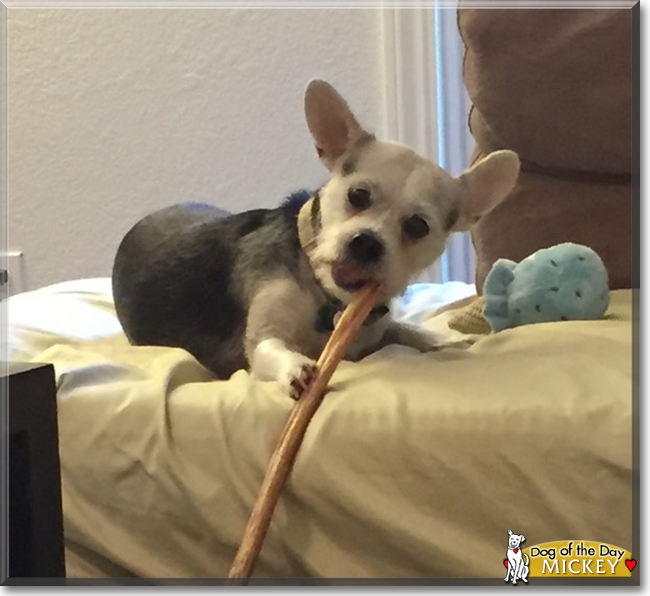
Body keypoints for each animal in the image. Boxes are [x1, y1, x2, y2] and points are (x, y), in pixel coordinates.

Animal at [110, 78, 516, 396]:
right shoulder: (262, 340)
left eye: (418, 226)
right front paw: (296, 368)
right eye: (358, 196)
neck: (327, 297)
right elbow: (273, 350)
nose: (366, 242)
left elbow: (404, 330)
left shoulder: (373, 333)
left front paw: (443, 339)